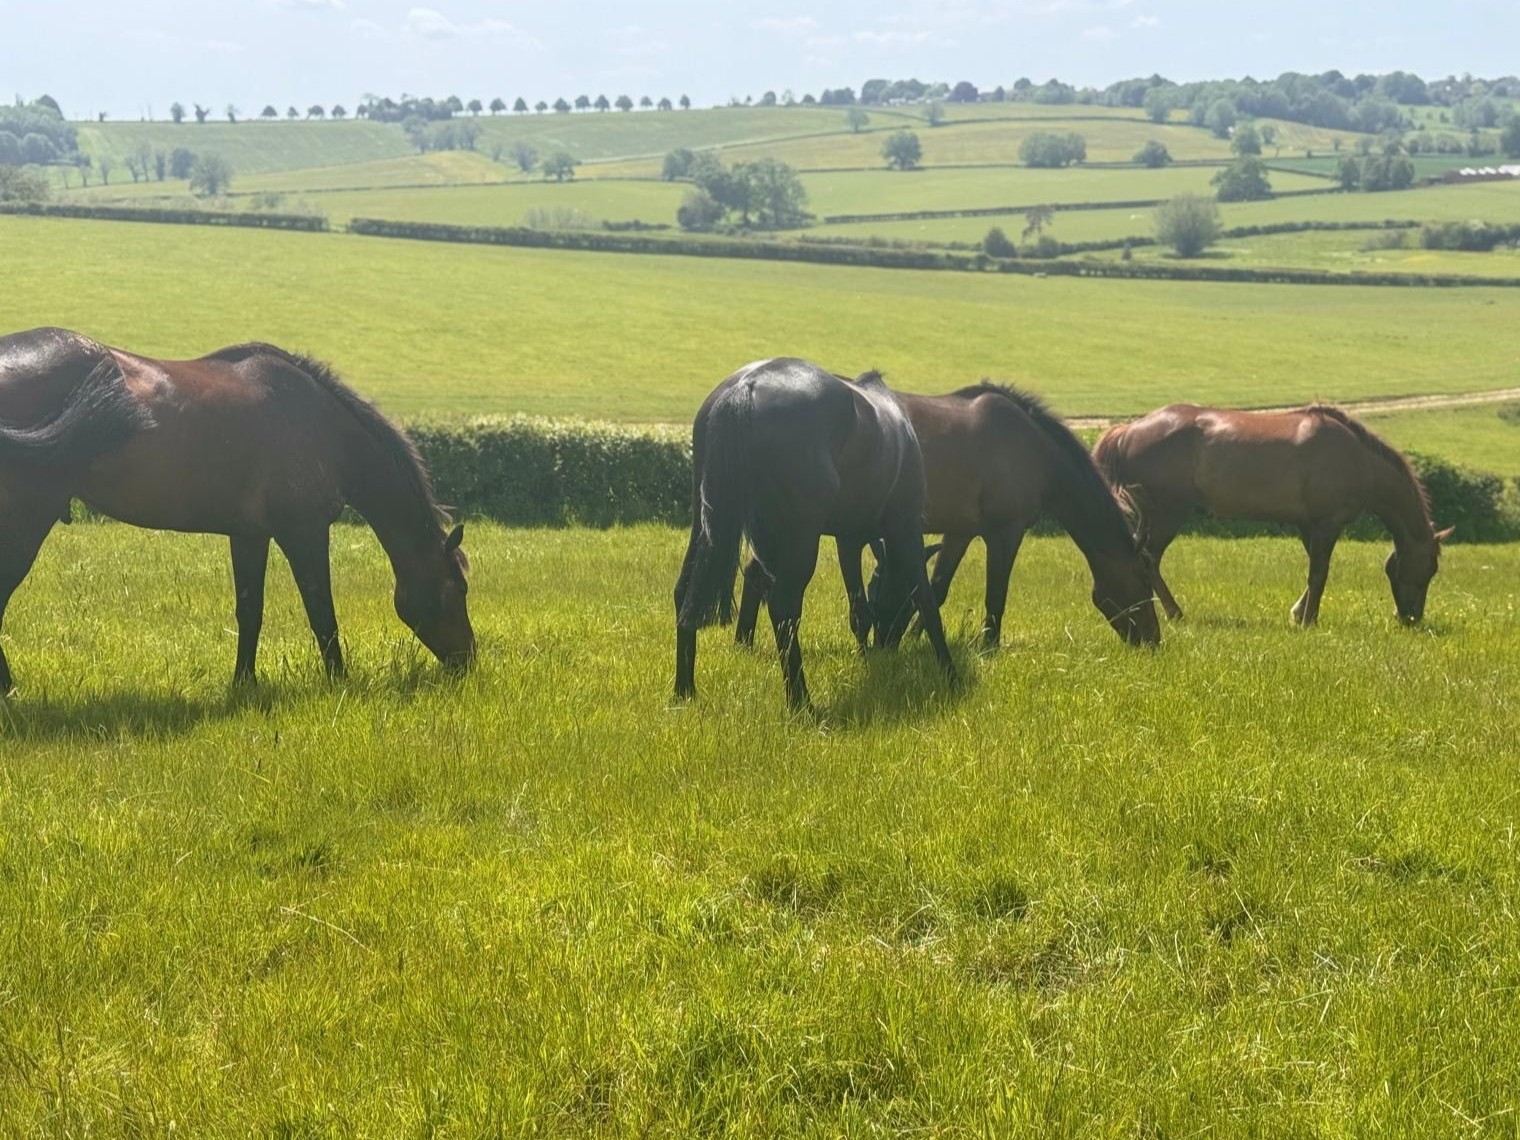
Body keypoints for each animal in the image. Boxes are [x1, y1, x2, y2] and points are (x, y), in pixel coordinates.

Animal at [0, 327, 475, 693]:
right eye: (459, 588)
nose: (468, 659)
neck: (324, 428)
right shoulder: (304, 532)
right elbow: (322, 612)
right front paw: (340, 681)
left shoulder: (249, 535)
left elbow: (250, 611)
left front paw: (243, 684)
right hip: (26, 520)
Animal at [674, 358, 955, 710]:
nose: (887, 643)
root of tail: (746, 386)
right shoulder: (904, 527)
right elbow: (926, 597)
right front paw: (949, 672)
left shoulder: (849, 539)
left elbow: (859, 611)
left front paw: (866, 659)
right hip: (800, 540)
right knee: (784, 606)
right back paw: (801, 703)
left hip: (710, 524)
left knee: (684, 592)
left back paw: (683, 690)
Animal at [736, 382, 1160, 651]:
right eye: (1144, 580)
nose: (1153, 641)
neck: (1034, 450)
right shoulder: (1006, 533)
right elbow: (996, 595)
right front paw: (989, 646)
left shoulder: (960, 532)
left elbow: (937, 589)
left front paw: (912, 636)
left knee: (756, 574)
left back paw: (744, 642)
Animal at [1094, 403, 1452, 626]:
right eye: (1428, 570)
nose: (1410, 618)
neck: (1357, 459)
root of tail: (1128, 431)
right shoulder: (1328, 523)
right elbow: (1319, 574)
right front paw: (1309, 620)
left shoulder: (1309, 526)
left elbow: (1314, 571)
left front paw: (1297, 613)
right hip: (1169, 513)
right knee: (1149, 560)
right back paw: (1174, 612)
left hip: (1151, 515)